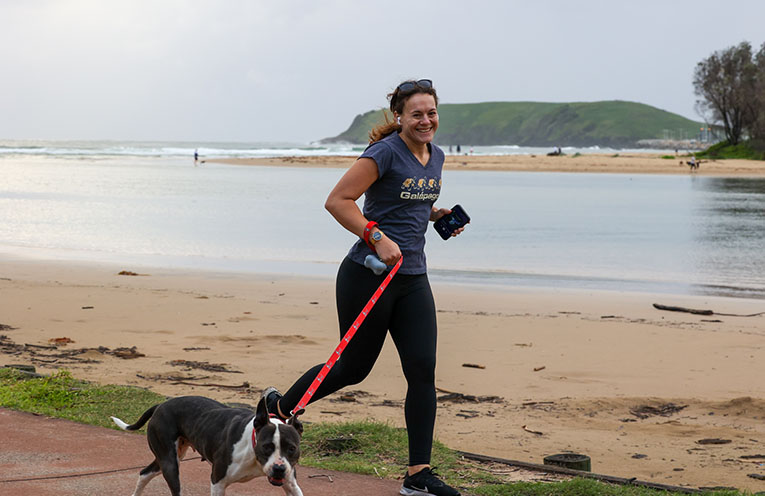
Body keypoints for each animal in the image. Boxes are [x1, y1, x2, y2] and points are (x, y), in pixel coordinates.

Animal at [111, 393, 303, 496]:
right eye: (266, 447)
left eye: (292, 448)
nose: (279, 468)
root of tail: (161, 405)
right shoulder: (217, 482)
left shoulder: (291, 485)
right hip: (169, 462)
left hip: (169, 457)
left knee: (144, 473)